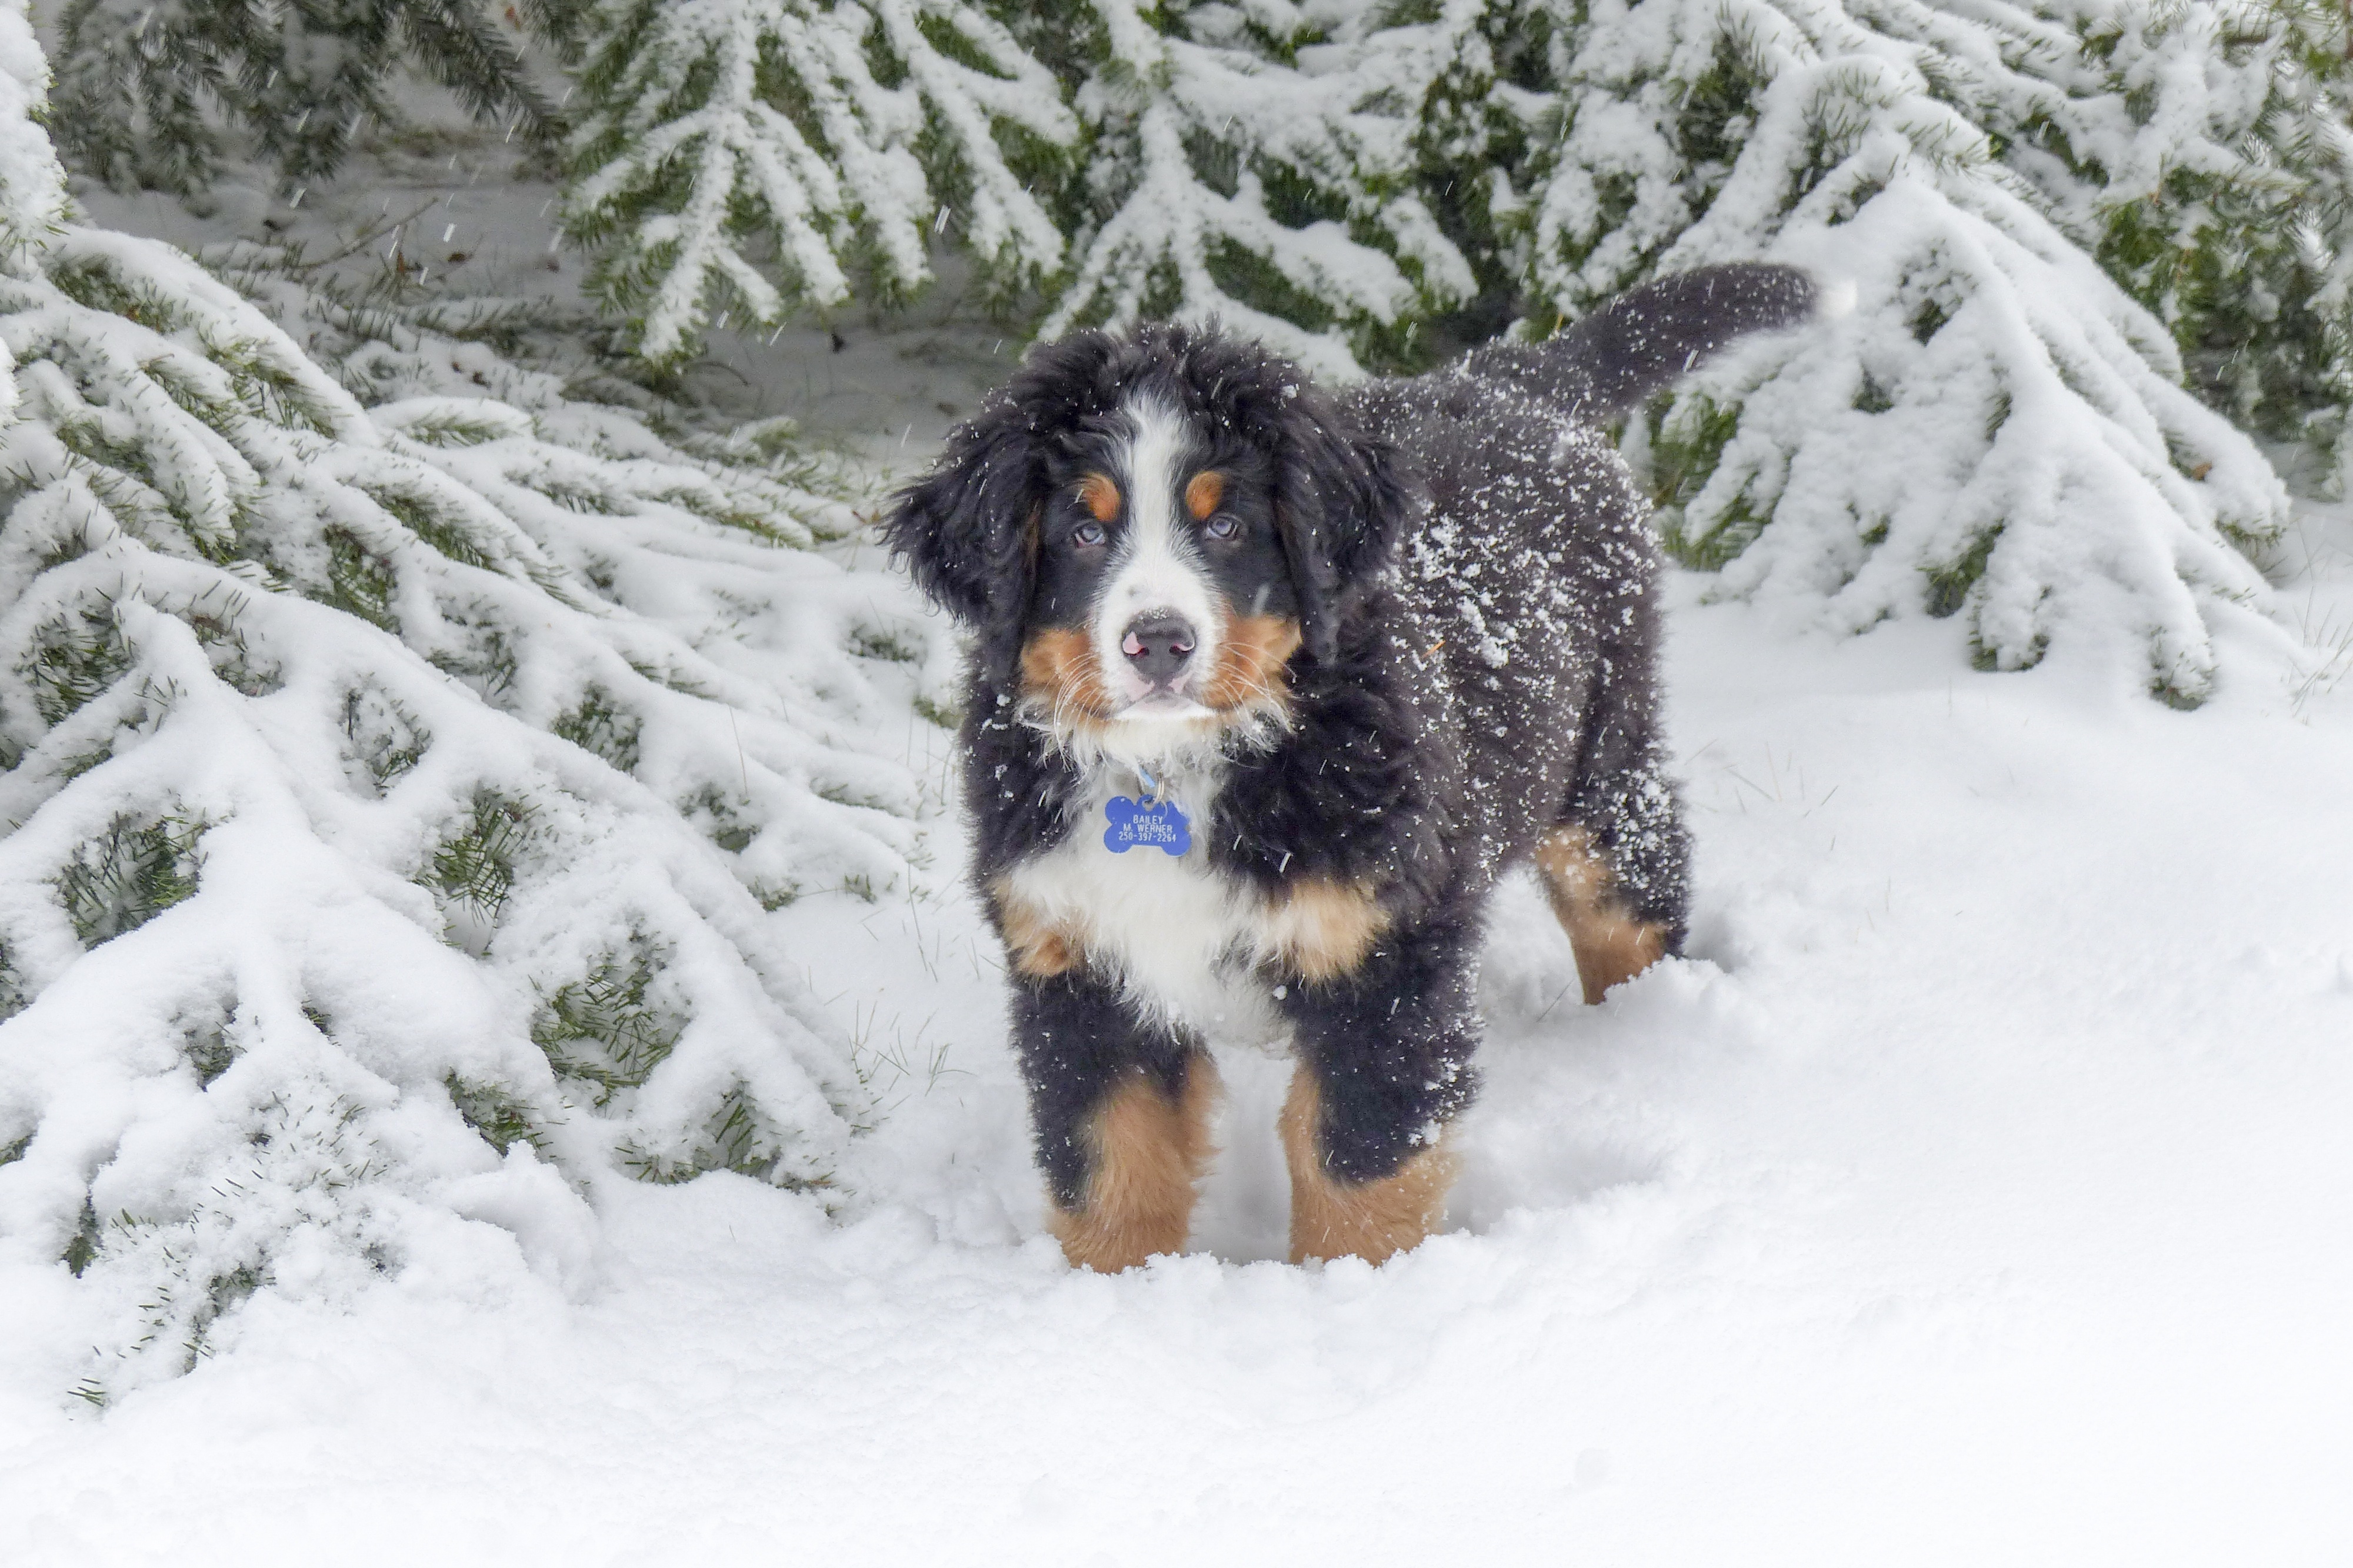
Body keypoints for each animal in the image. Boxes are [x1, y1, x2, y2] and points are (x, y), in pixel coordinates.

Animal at [885, 266, 1817, 1271]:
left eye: (1229, 524)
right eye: (1084, 534)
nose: (1160, 642)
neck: (1177, 766)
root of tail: (1508, 377)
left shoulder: (1383, 958)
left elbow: (1357, 1166)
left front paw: (1352, 1294)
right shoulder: (1077, 963)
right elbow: (1109, 1169)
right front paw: (1111, 1294)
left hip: (1599, 762)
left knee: (1632, 899)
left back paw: (1646, 1035)